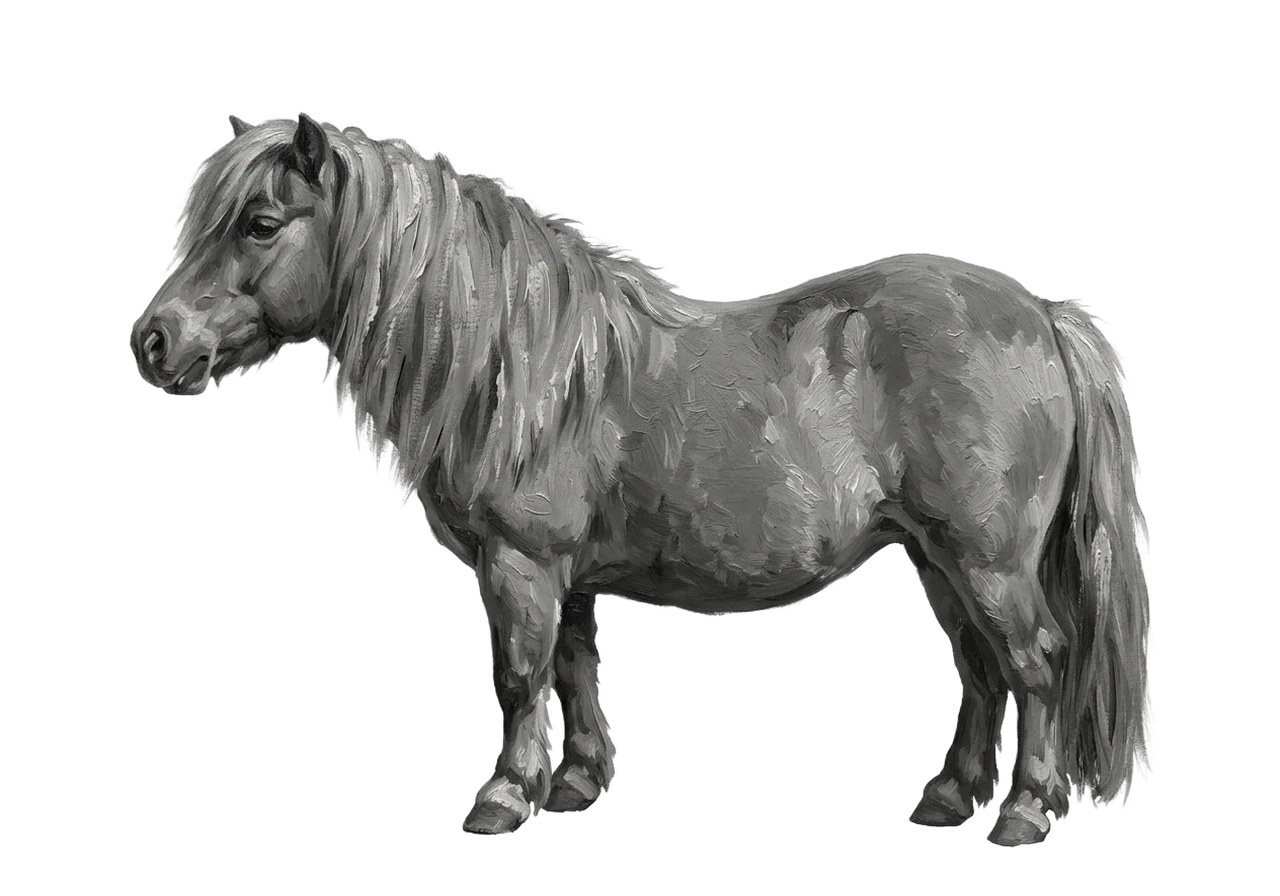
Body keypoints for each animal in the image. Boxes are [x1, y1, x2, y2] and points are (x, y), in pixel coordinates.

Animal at [129, 114, 1152, 845]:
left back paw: (1022, 814)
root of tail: (1044, 316)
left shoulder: (520, 564)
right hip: (939, 560)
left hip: (988, 564)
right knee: (982, 674)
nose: (154, 341)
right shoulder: (566, 574)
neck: (515, 363)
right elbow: (576, 668)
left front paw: (501, 799)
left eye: (261, 224)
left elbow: (520, 674)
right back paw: (948, 800)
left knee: (1036, 662)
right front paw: (575, 785)